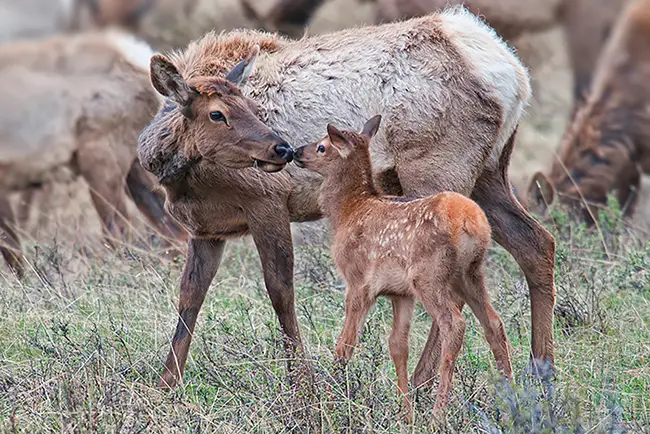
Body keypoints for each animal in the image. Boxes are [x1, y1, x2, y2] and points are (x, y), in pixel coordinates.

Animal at [0, 29, 187, 278]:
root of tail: (136, 57)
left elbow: (12, 251)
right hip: (137, 170)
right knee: (173, 230)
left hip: (101, 164)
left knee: (118, 232)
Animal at [292, 115, 513, 420]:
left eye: (322, 146)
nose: (295, 152)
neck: (349, 211)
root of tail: (471, 221)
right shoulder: (401, 293)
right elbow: (398, 346)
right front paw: (405, 413)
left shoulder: (358, 281)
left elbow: (346, 342)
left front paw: (329, 398)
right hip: (470, 274)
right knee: (494, 323)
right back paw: (515, 401)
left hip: (430, 276)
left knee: (454, 324)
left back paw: (438, 414)